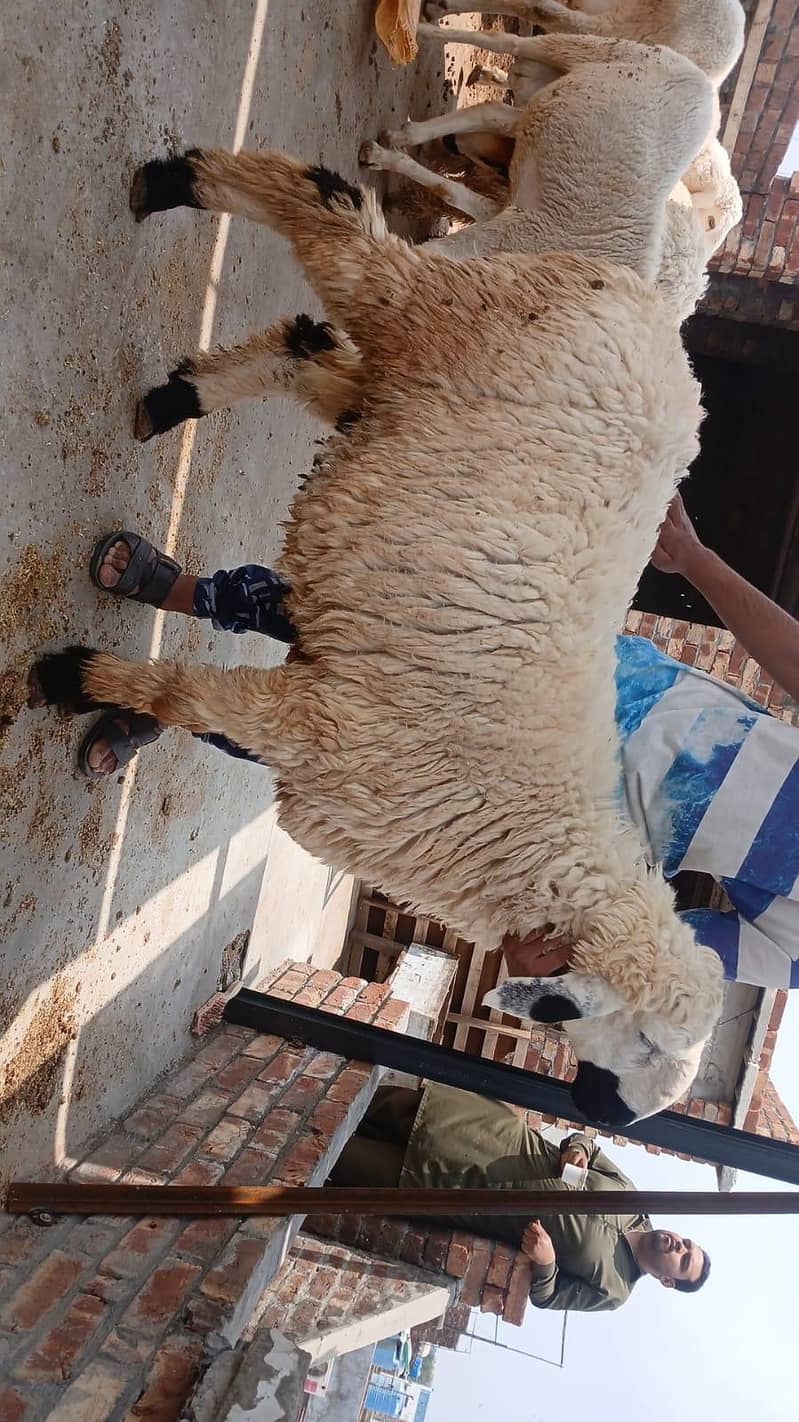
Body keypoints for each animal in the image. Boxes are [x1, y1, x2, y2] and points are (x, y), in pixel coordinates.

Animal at [29, 118, 725, 1129]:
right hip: (448, 313)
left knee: (308, 347)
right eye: (646, 1044)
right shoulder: (328, 727)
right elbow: (182, 692)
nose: (608, 1114)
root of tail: (653, 312)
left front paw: (106, 708)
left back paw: (177, 398)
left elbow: (198, 704)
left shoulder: (322, 714)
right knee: (332, 223)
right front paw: (74, 679)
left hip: (412, 381)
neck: (528, 839)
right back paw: (174, 185)